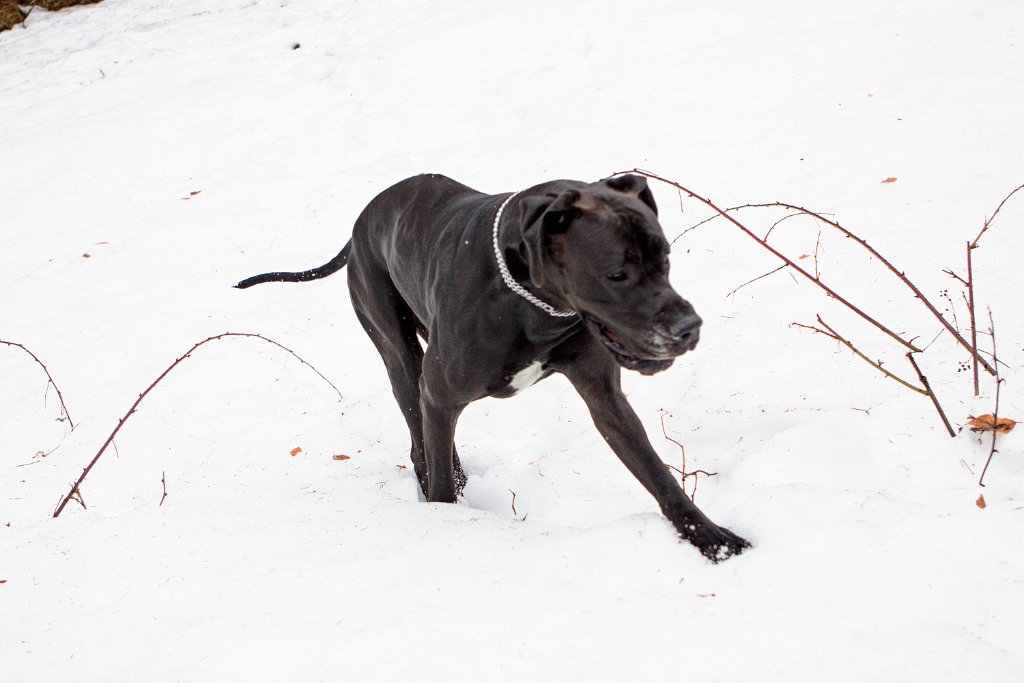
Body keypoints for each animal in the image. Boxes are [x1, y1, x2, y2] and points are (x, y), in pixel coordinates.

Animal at [239, 174, 753, 565]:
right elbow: (440, 479)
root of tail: (361, 222)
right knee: (418, 430)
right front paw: (445, 523)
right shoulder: (440, 393)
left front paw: (709, 537)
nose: (689, 327)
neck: (533, 306)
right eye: (617, 274)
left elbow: (654, 470)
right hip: (397, 349)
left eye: (665, 258)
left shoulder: (604, 396)